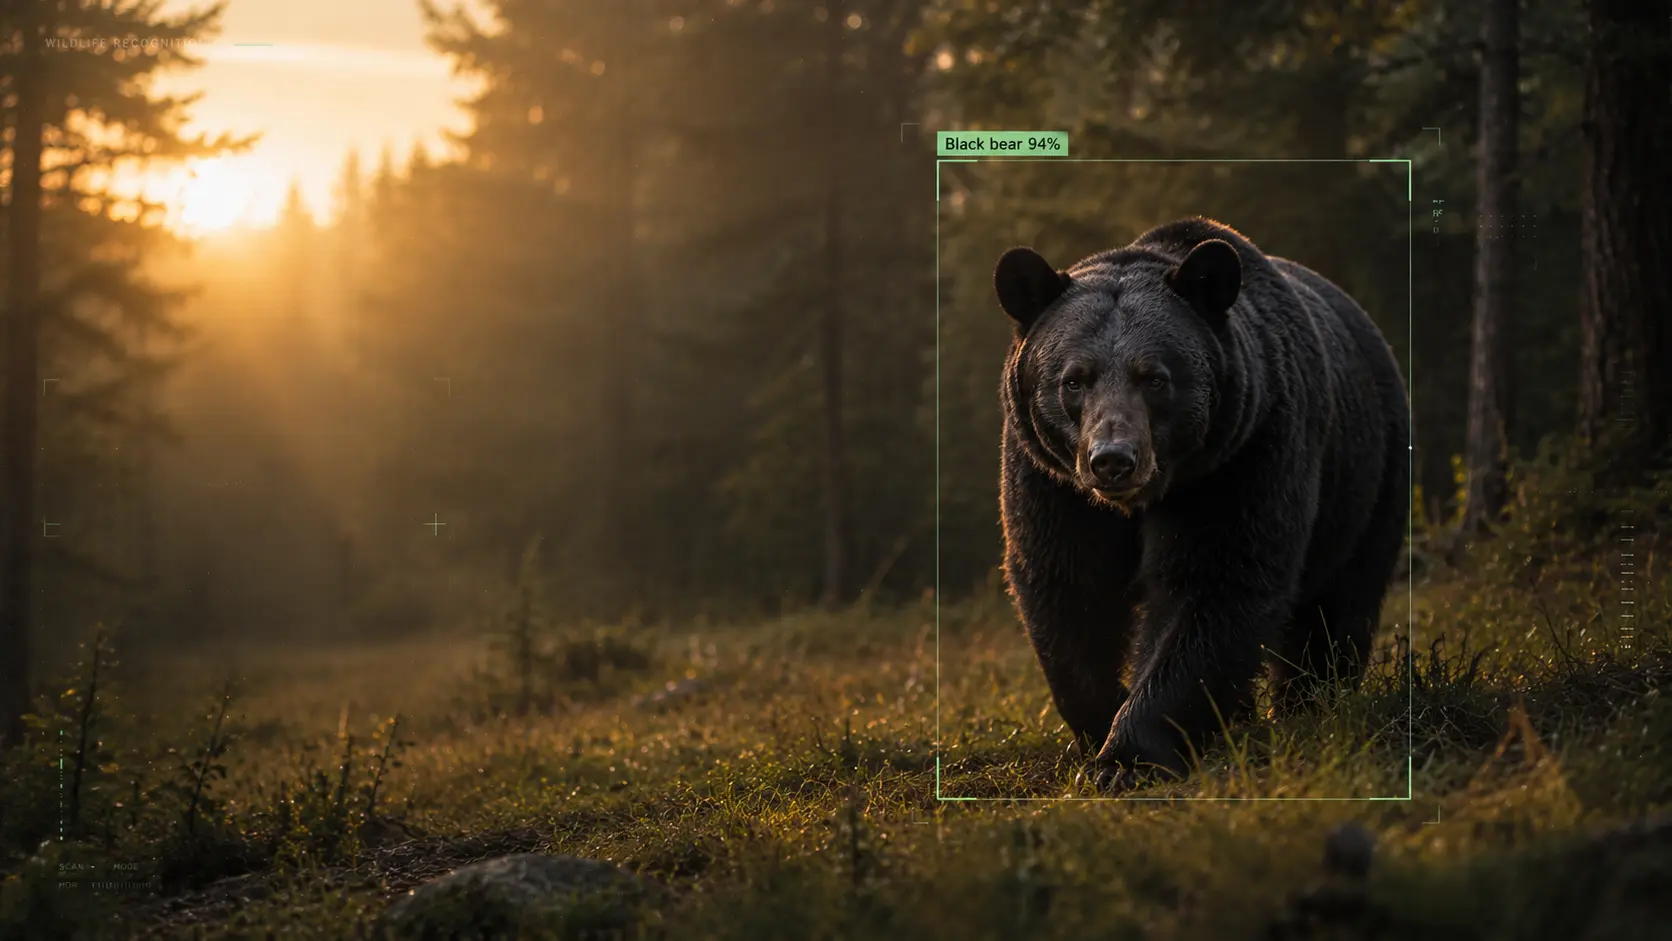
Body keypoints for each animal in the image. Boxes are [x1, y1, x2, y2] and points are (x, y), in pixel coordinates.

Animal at [993, 216, 1410, 791]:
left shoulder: (1241, 458)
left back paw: (1310, 705)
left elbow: (1214, 585)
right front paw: (1103, 722)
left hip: (1367, 476)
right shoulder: (1054, 485)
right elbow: (1068, 589)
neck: (1142, 500)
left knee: (1339, 605)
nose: (1113, 459)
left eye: (1154, 377)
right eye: (1073, 380)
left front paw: (1130, 756)